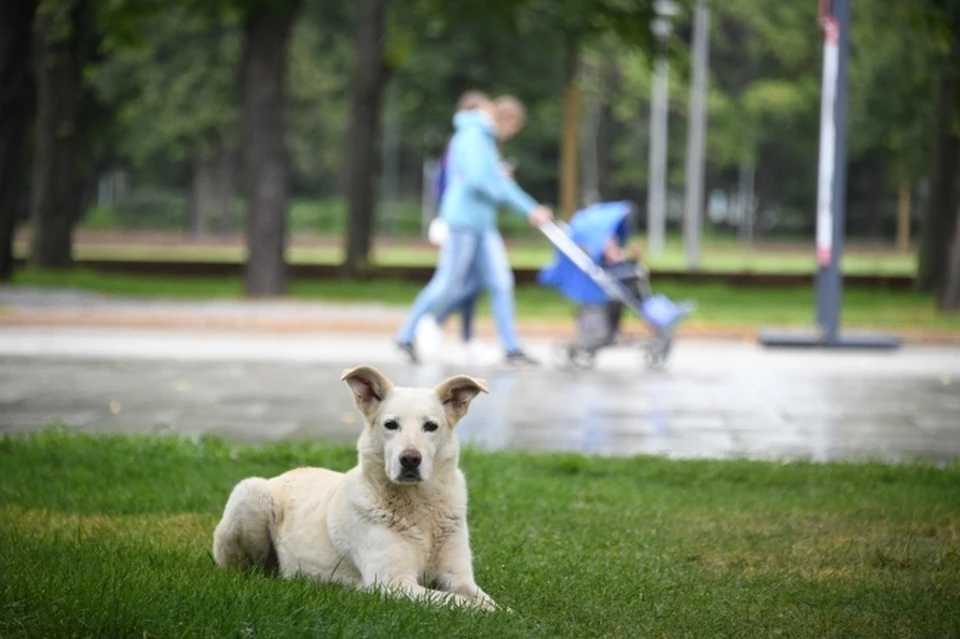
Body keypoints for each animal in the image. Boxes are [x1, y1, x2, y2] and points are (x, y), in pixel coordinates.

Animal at [214, 364, 498, 608]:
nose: (410, 459)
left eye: (430, 426)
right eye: (391, 425)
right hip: (250, 493)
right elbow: (459, 602)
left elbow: (487, 601)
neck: (420, 506)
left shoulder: (458, 576)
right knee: (250, 570)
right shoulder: (392, 582)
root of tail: (285, 474)